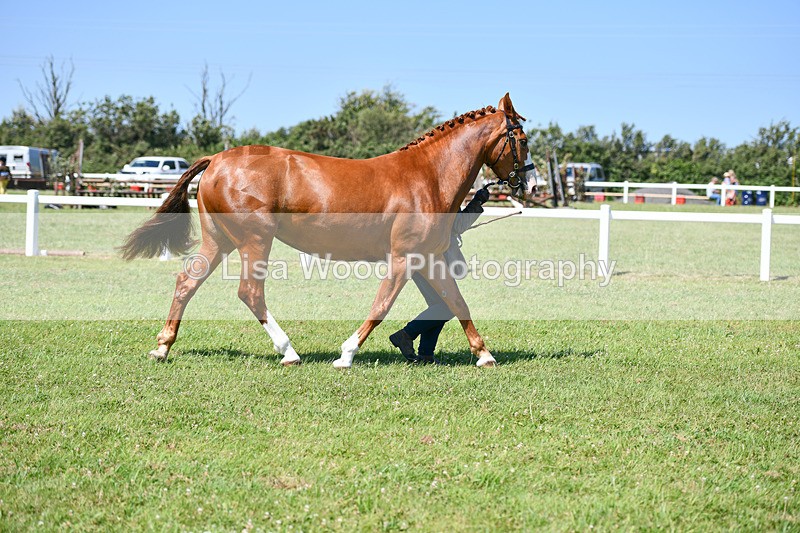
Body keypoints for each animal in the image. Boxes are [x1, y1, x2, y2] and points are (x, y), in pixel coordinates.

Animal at [120, 93, 534, 368]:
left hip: (219, 241)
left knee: (187, 282)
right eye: (522, 139)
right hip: (255, 241)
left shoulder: (428, 257)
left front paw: (484, 354)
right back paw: (288, 352)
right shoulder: (404, 257)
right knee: (250, 292)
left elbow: (455, 302)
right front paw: (346, 355)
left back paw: (162, 347)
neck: (427, 175)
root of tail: (217, 159)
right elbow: (382, 305)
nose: (526, 181)